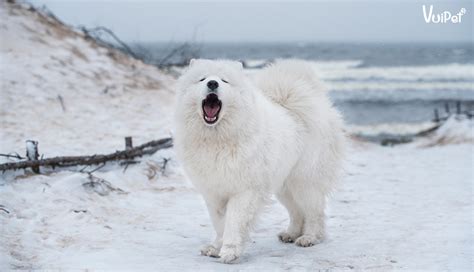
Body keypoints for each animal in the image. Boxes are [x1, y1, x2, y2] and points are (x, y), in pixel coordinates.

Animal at [174, 58, 344, 264]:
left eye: (224, 80)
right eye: (202, 79)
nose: (212, 83)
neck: (218, 138)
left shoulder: (243, 191)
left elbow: (233, 222)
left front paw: (230, 251)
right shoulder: (214, 192)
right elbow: (219, 223)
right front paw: (215, 248)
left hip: (304, 182)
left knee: (314, 213)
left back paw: (309, 238)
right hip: (284, 185)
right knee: (296, 211)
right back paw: (291, 234)